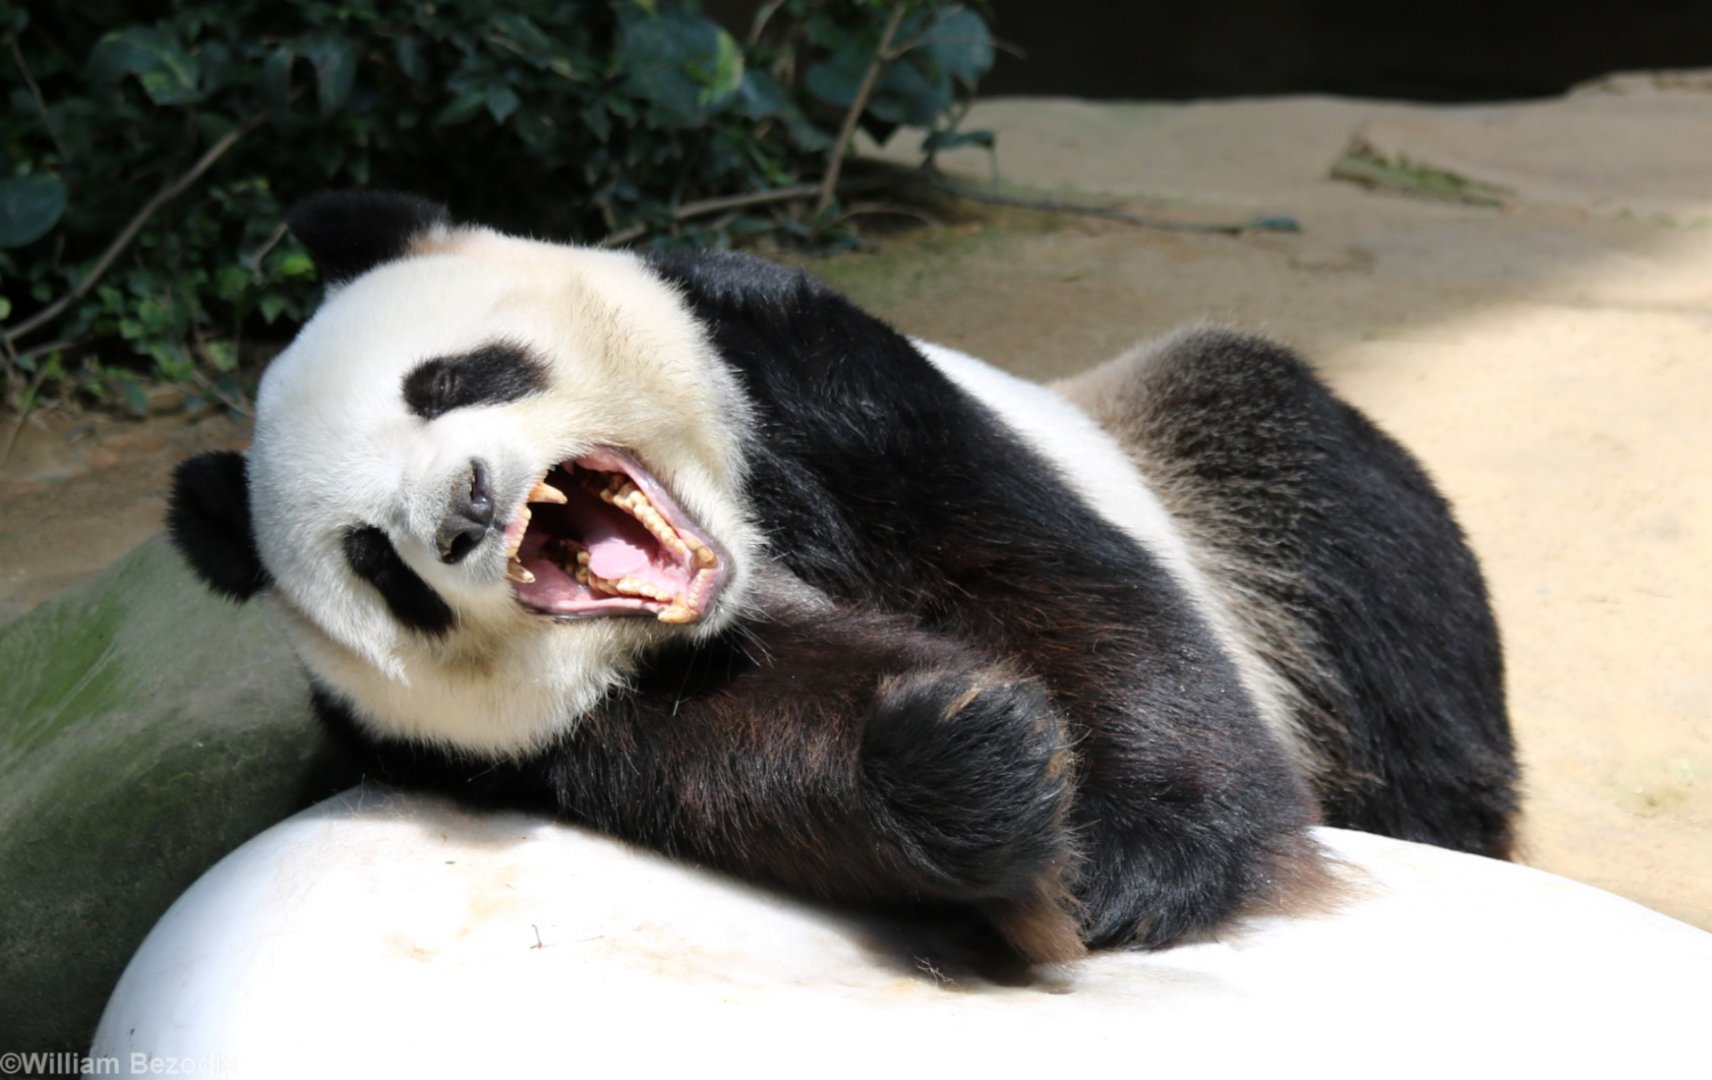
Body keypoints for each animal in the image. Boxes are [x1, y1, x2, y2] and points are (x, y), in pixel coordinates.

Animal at [168, 190, 1517, 964]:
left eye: (448, 381)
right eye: (375, 562)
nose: (461, 514)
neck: (742, 563)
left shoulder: (799, 369)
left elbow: (1042, 579)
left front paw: (1149, 858)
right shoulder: (504, 742)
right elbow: (762, 750)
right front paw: (964, 767)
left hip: (1195, 459)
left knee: (1322, 510)